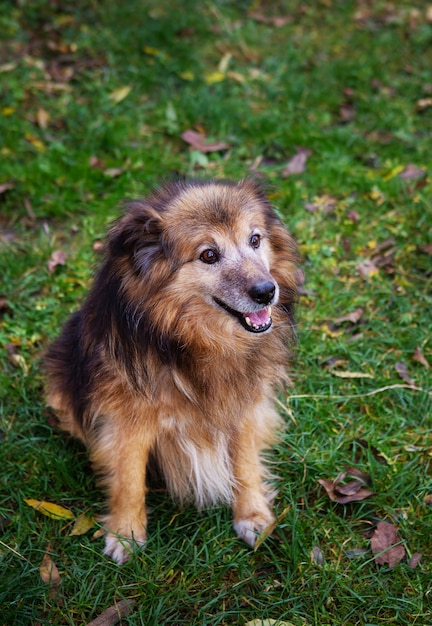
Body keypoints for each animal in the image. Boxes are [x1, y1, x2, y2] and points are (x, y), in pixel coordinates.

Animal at [44, 177, 300, 560]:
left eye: (255, 239)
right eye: (208, 254)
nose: (267, 291)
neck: (198, 343)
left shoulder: (244, 405)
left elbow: (245, 463)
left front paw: (252, 515)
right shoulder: (127, 420)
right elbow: (128, 478)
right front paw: (125, 532)